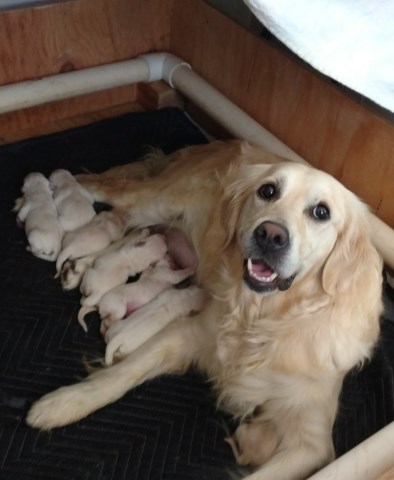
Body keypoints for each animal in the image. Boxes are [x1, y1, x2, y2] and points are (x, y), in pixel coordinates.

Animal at [27, 141, 384, 480]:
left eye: (321, 212)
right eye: (268, 191)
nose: (270, 235)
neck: (262, 320)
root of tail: (225, 142)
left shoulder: (311, 445)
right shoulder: (189, 332)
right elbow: (121, 374)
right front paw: (63, 403)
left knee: (120, 227)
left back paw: (76, 264)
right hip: (157, 199)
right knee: (105, 193)